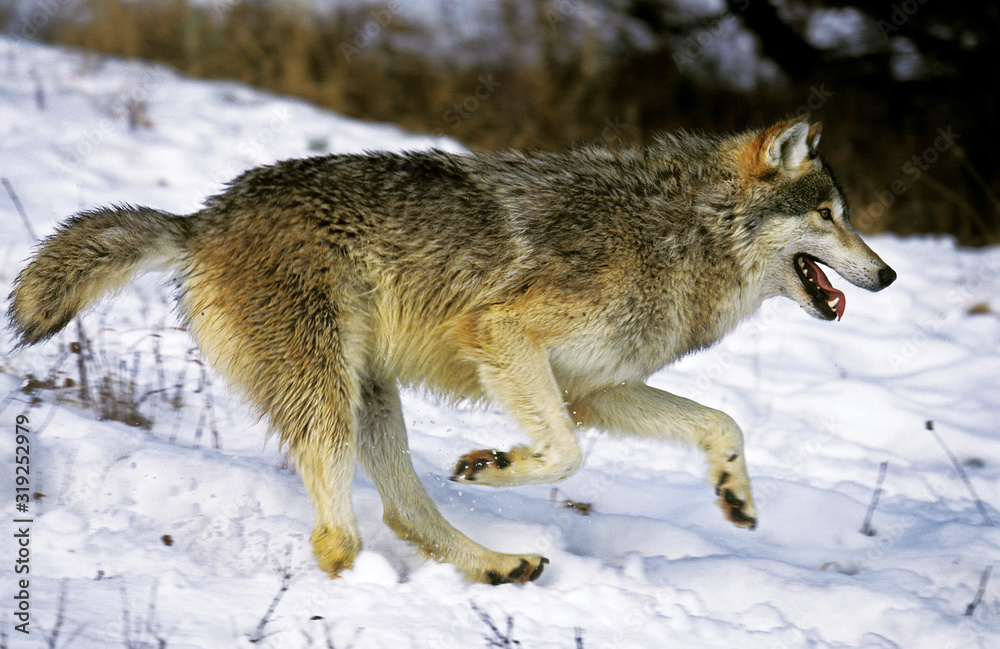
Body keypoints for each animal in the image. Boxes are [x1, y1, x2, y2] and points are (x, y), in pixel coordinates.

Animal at [5, 115, 900, 584]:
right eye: (829, 215)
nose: (889, 273)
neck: (686, 234)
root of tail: (202, 218)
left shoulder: (597, 388)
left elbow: (722, 424)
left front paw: (735, 498)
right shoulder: (505, 335)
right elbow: (564, 453)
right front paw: (496, 464)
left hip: (370, 397)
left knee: (404, 509)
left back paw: (499, 565)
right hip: (329, 394)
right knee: (339, 534)